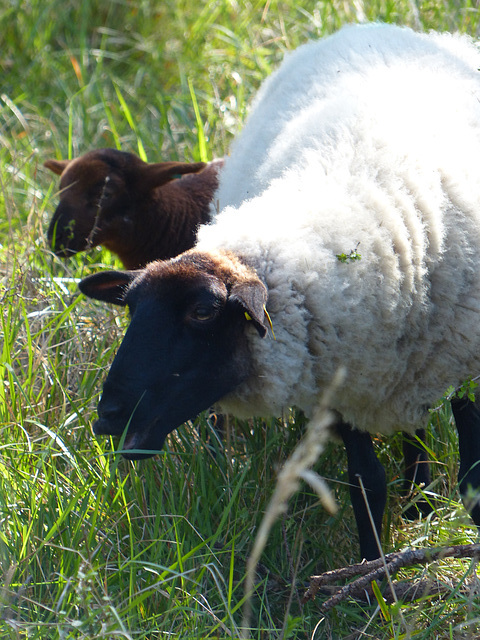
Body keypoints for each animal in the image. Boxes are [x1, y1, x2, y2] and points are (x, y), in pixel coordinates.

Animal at [79, 23, 480, 560]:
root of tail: (368, 26)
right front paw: (375, 572)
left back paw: (419, 501)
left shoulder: (462, 366)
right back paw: (418, 500)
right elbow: (366, 482)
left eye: (203, 311)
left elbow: (472, 480)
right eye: (131, 309)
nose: (108, 418)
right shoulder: (339, 377)